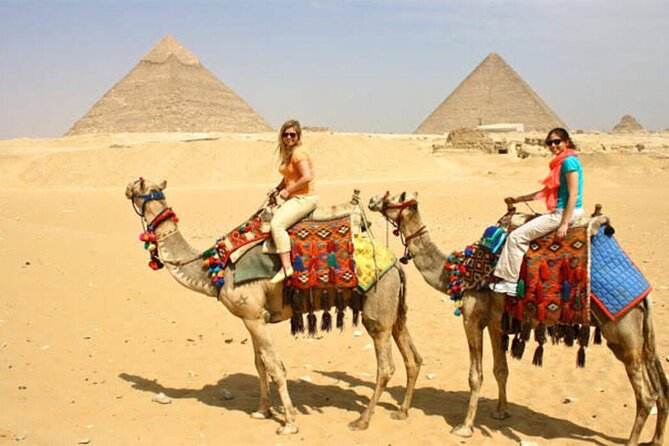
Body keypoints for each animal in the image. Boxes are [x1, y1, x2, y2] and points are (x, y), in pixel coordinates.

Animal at [124, 178, 422, 434]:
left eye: (141, 186)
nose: (127, 187)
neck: (214, 269)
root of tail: (396, 265)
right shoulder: (254, 317)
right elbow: (260, 364)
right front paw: (262, 411)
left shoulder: (253, 316)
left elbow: (276, 366)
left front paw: (289, 423)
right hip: (396, 312)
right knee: (413, 357)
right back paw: (402, 412)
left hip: (377, 312)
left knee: (386, 367)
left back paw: (361, 421)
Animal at [368, 191, 668, 446]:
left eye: (394, 197)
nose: (372, 200)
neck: (459, 271)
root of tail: (645, 293)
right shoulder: (495, 322)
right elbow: (500, 370)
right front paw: (501, 412)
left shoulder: (472, 318)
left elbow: (475, 375)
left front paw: (464, 427)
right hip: (641, 333)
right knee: (660, 386)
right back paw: (655, 440)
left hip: (622, 331)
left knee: (646, 396)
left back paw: (632, 441)